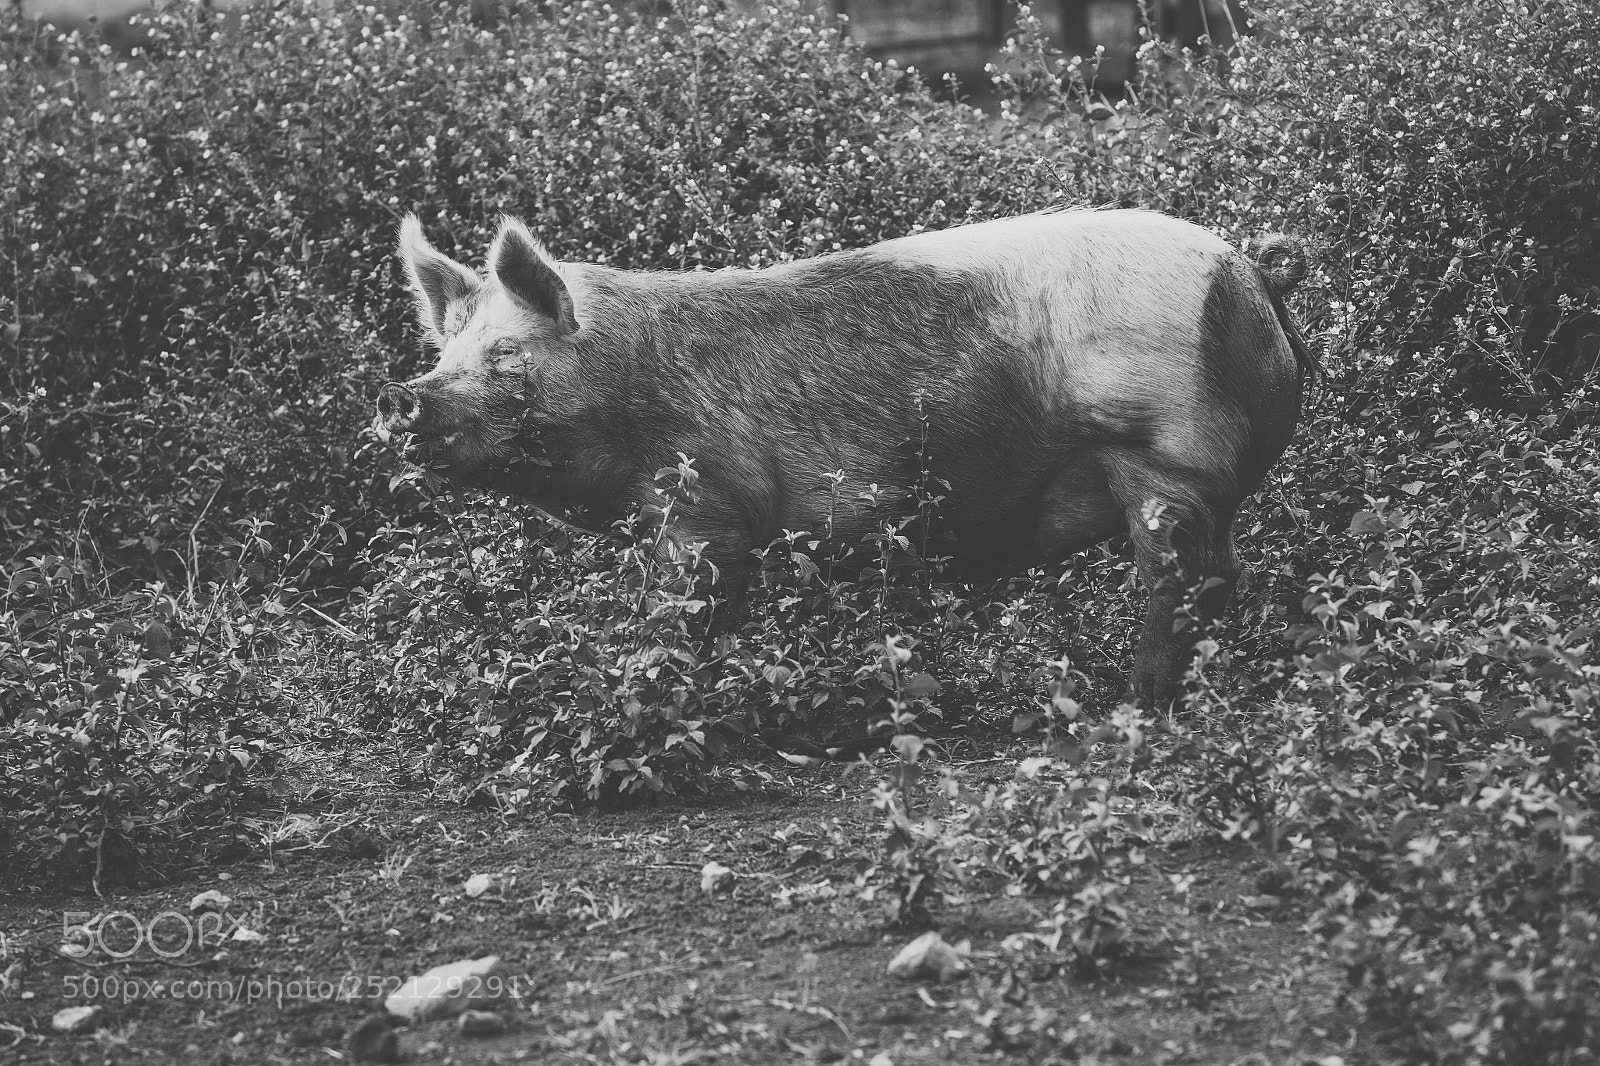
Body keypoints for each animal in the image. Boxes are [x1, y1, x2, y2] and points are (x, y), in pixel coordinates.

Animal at [374, 207, 1313, 706]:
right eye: (445, 353)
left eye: (507, 357)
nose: (402, 396)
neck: (627, 381)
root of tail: (1250, 274)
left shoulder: (702, 495)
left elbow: (694, 600)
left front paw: (657, 686)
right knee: (1225, 569)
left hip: (1160, 449)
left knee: (1180, 572)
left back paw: (1131, 699)